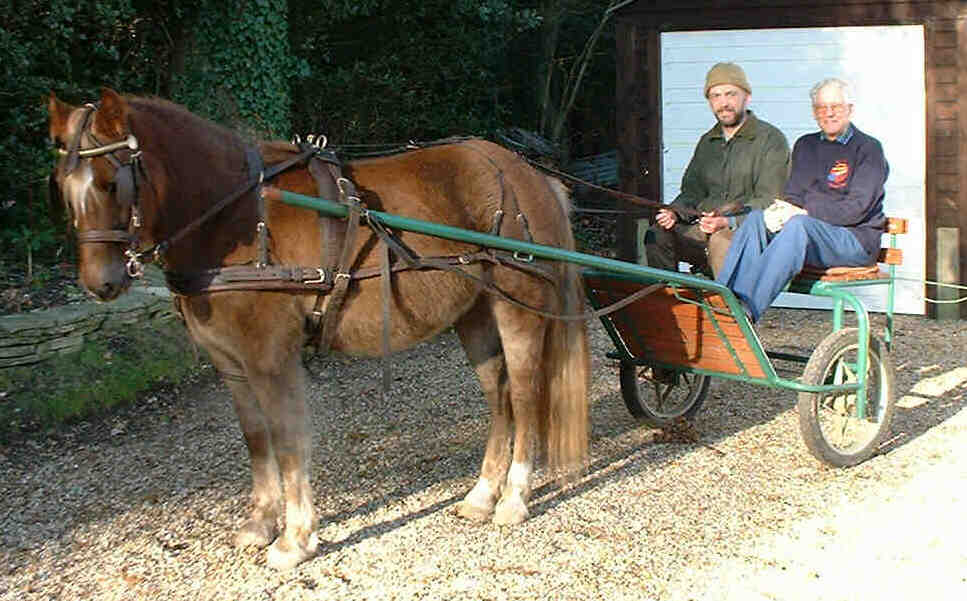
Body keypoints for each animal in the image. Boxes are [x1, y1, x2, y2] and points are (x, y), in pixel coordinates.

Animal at [49, 88, 592, 568]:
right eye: (62, 184)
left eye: (111, 181)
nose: (100, 283)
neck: (238, 218)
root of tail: (527, 174)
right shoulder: (232, 365)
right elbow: (256, 439)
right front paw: (259, 525)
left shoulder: (271, 360)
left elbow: (288, 442)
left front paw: (294, 540)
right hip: (474, 315)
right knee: (499, 399)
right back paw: (482, 495)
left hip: (519, 310)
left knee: (524, 396)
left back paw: (513, 500)